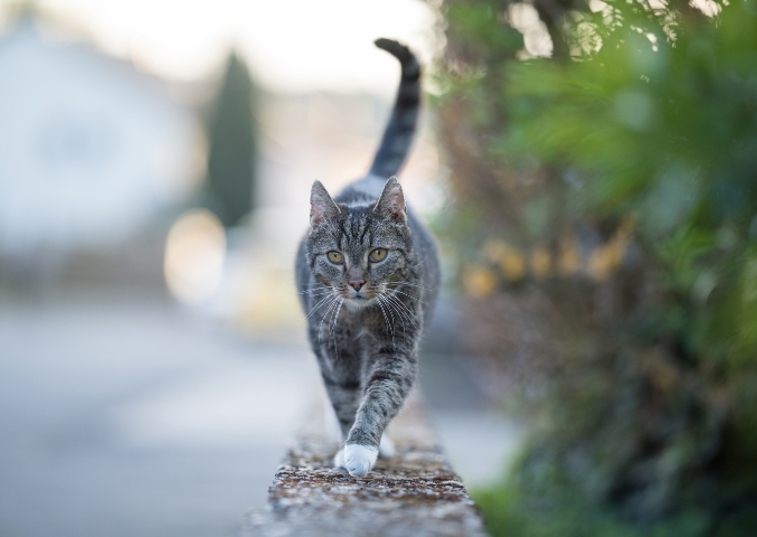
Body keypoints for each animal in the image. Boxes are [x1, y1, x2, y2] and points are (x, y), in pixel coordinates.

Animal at [292, 37, 440, 476]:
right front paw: (346, 446)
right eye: (335, 256)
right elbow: (343, 396)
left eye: (377, 253)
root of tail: (368, 178)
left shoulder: (398, 345)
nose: (356, 282)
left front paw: (362, 447)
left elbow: (379, 395)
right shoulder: (331, 344)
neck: (359, 318)